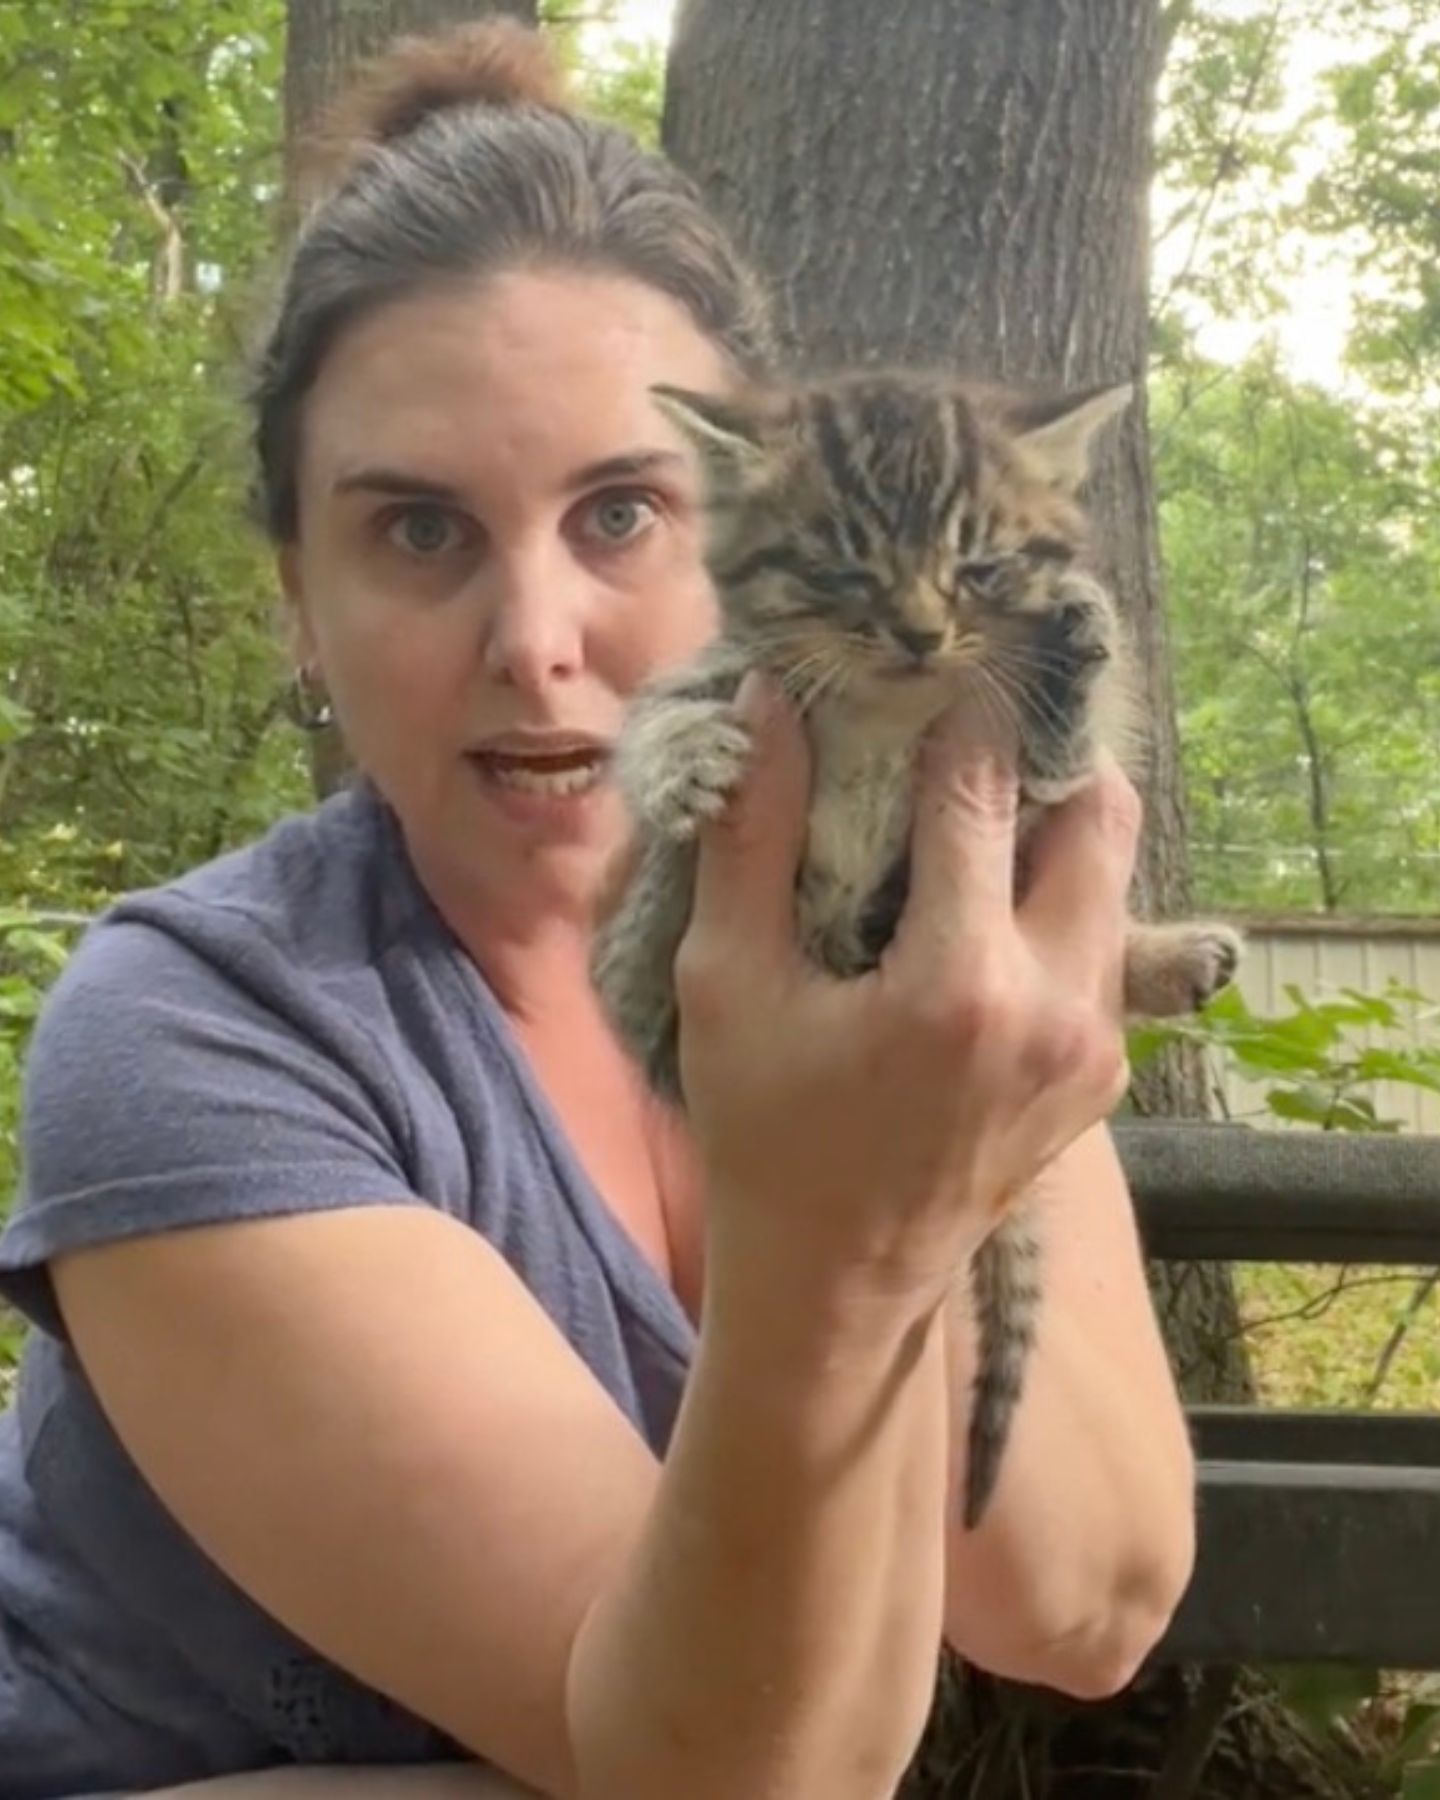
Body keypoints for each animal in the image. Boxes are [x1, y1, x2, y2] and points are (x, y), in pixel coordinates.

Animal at [590, 369, 1245, 1533]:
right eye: (844, 566)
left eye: (978, 569)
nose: (919, 633)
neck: (886, 713)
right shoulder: (728, 681)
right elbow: (659, 713)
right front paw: (679, 758)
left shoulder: (1035, 797)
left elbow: (1060, 761)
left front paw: (1074, 656)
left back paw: (1171, 956)